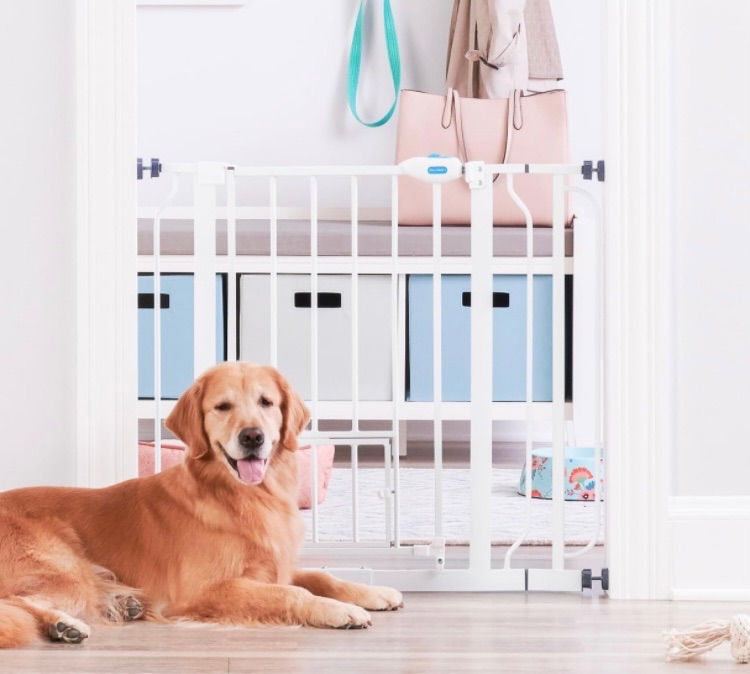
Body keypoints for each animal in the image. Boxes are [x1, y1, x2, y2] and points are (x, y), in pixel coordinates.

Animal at [0, 362, 406, 644]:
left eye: (266, 402)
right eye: (222, 406)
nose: (253, 436)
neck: (239, 497)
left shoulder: (273, 567)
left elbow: (322, 576)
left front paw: (373, 592)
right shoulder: (205, 589)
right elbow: (293, 592)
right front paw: (339, 610)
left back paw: (122, 605)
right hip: (67, 569)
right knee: (15, 602)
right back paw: (62, 624)